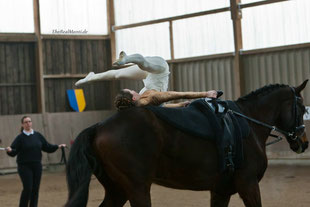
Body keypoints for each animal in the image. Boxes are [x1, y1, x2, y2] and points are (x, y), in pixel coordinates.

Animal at [65, 80, 308, 206]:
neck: (249, 120)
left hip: (117, 190)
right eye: (302, 107)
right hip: (137, 188)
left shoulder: (221, 190)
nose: (303, 143)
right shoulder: (248, 185)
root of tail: (99, 126)